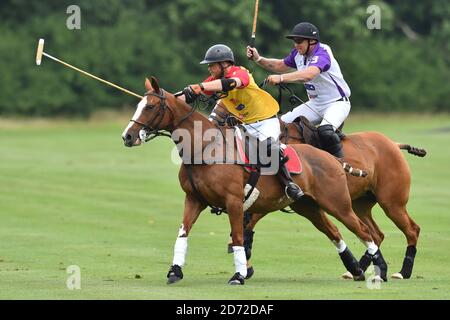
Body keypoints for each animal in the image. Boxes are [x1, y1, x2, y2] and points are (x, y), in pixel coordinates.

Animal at [121, 77, 388, 284]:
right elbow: (183, 235)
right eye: (139, 104)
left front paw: (238, 275)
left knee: (364, 231)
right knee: (334, 231)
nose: (128, 136)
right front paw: (175, 271)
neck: (204, 148)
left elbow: (239, 237)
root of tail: (331, 157)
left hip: (338, 203)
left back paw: (379, 269)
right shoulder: (194, 199)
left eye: (150, 106)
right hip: (307, 206)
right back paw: (355, 268)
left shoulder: (234, 201)